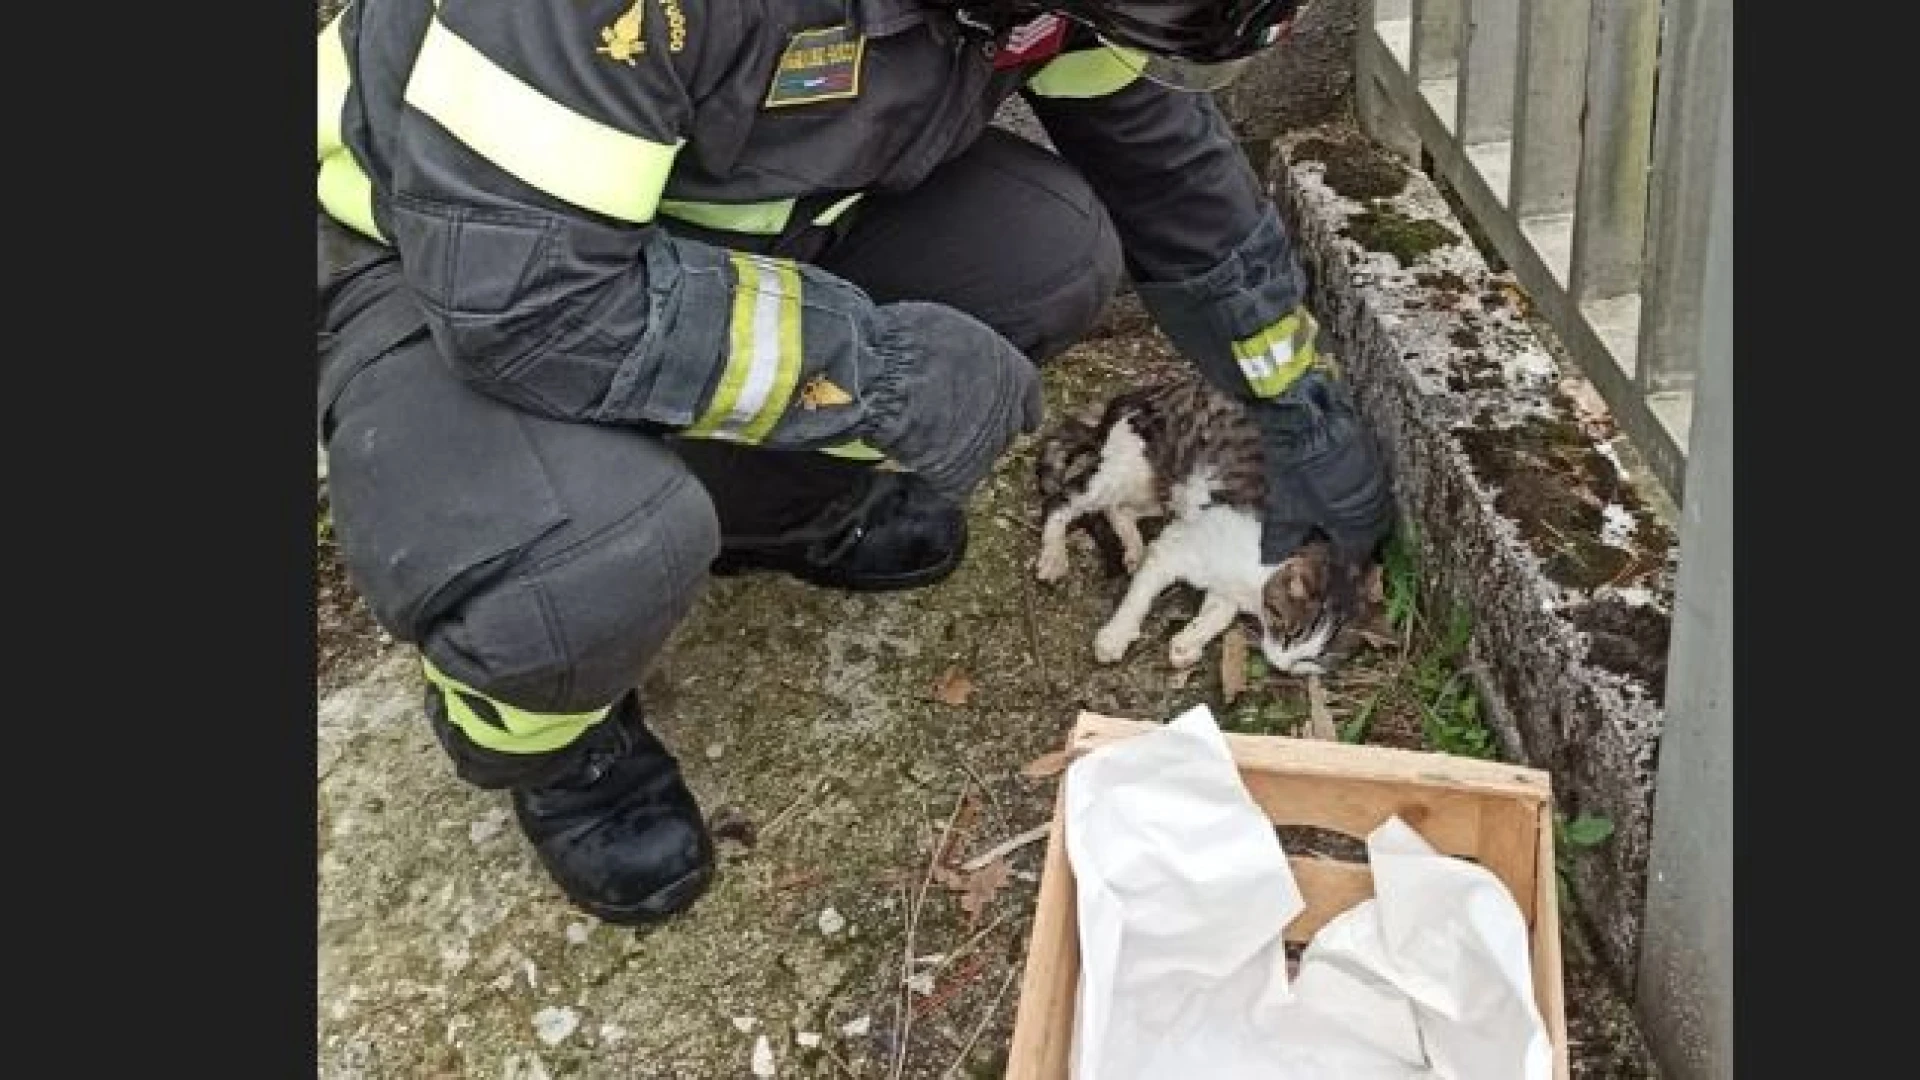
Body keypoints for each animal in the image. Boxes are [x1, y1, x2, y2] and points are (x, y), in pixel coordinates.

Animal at [1036, 372, 1397, 672]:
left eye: (1310, 660)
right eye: (1290, 634)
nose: (1280, 666)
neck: (1253, 581)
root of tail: (1137, 392)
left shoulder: (1221, 582)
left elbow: (1218, 614)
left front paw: (1187, 642)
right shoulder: (1175, 548)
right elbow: (1139, 597)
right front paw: (1115, 635)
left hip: (1158, 489)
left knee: (1118, 509)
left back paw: (1133, 547)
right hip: (1128, 469)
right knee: (1062, 501)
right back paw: (1053, 556)